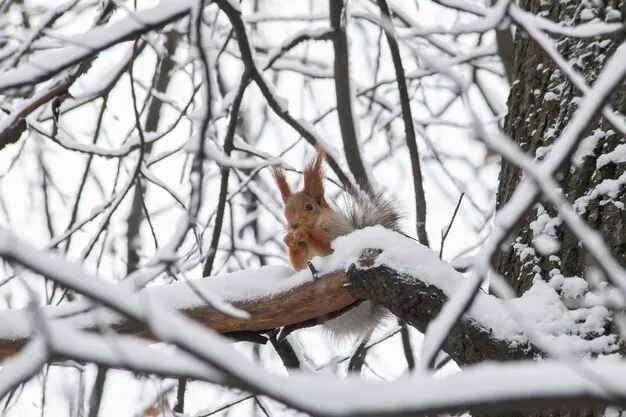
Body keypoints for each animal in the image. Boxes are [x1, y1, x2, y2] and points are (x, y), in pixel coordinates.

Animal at [270, 146, 402, 338]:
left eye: (309, 207)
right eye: (285, 213)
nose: (294, 225)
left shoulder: (336, 233)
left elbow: (326, 247)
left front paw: (304, 232)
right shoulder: (302, 258)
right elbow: (299, 263)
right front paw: (289, 240)